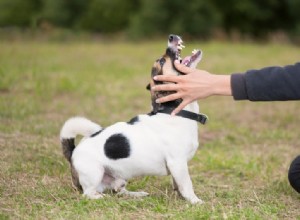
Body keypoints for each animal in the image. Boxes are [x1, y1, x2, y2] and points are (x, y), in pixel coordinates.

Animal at [59, 34, 207, 205]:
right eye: (161, 61)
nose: (171, 36)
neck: (175, 111)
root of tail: (73, 151)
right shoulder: (177, 163)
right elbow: (187, 185)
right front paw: (195, 201)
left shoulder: (177, 167)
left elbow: (178, 184)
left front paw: (181, 197)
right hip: (94, 173)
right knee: (88, 193)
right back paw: (100, 197)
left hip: (120, 178)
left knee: (118, 191)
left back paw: (136, 194)